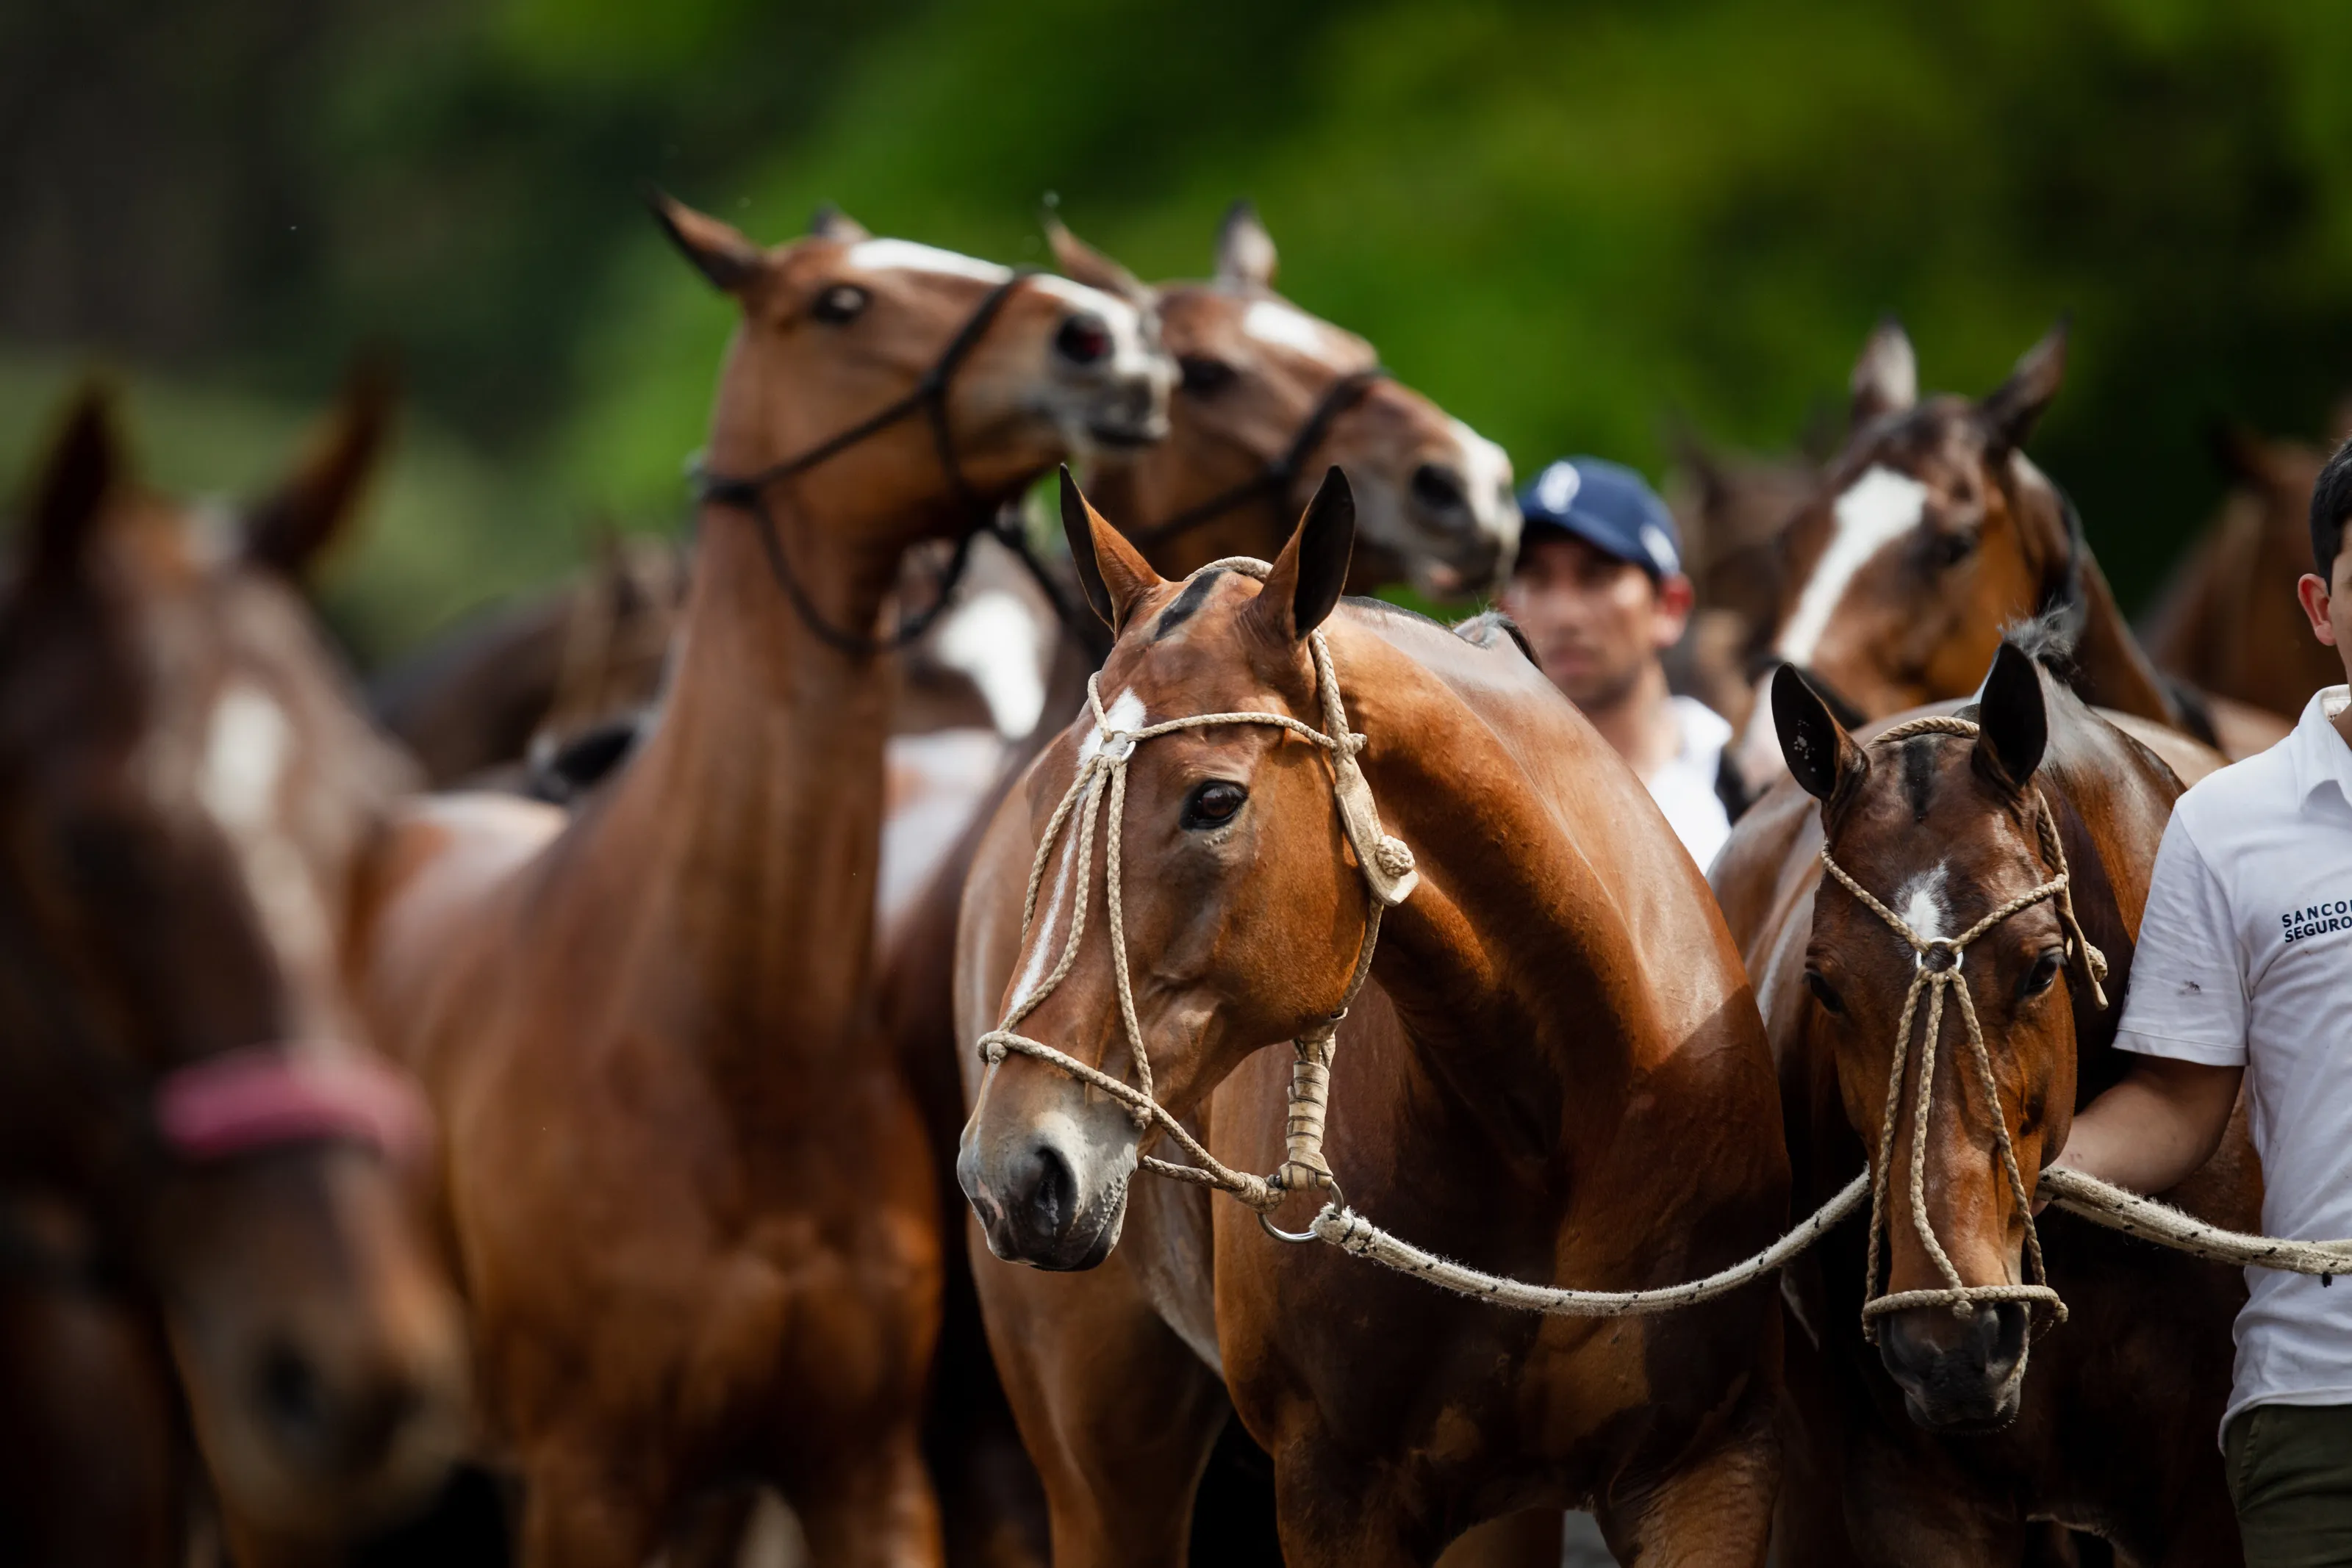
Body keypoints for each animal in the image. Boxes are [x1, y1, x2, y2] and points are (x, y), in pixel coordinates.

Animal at [949, 470, 1789, 1567]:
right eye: (1057, 798)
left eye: (1214, 800)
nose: (1011, 1168)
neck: (1560, 1113)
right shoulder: (1336, 1492)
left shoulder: (1706, 1466)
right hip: (1102, 1452)